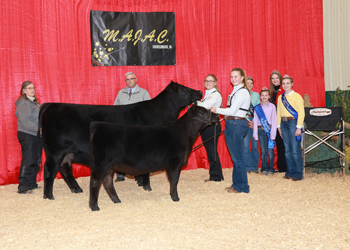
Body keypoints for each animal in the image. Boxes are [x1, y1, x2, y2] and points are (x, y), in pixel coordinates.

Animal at [39, 81, 201, 200]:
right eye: (183, 89)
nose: (199, 92)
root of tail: (50, 104)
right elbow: (147, 170)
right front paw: (147, 186)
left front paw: (140, 183)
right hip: (54, 151)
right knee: (49, 170)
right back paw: (49, 196)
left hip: (67, 153)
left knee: (65, 169)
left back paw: (76, 189)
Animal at [88, 104, 219, 211]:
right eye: (202, 112)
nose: (217, 115)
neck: (186, 134)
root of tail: (98, 124)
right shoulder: (175, 163)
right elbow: (174, 180)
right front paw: (175, 198)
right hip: (101, 163)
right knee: (95, 181)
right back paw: (94, 207)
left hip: (109, 165)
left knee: (107, 181)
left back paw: (117, 200)